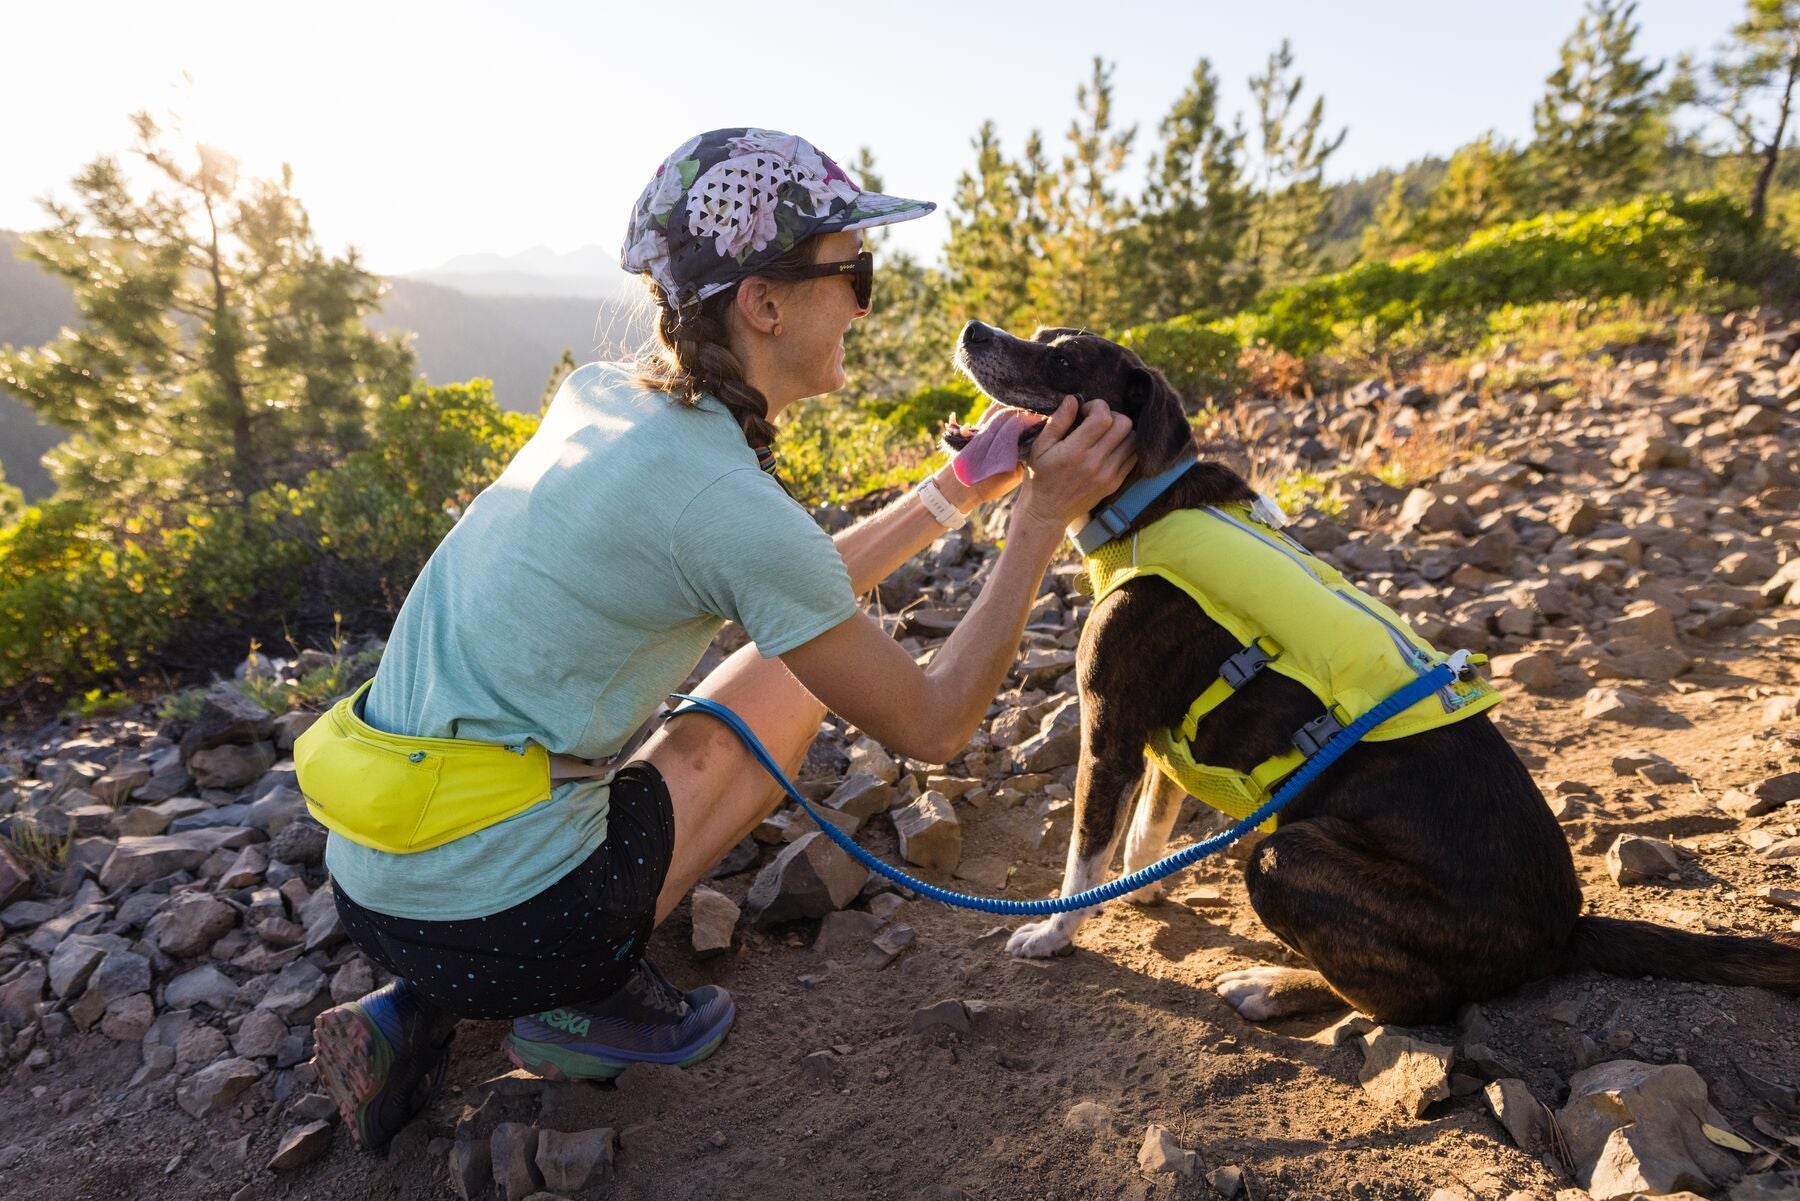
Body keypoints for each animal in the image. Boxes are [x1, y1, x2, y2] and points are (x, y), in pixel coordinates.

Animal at [950, 318, 1800, 1022]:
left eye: (1064, 359)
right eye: (1040, 334)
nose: (973, 328)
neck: (1148, 504)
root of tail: (1564, 932)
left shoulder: (1111, 729)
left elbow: (1086, 848)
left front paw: (1055, 931)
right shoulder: (1163, 740)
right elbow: (1144, 831)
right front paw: (1145, 883)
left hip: (1286, 855)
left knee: (1416, 1001)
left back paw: (1274, 986)